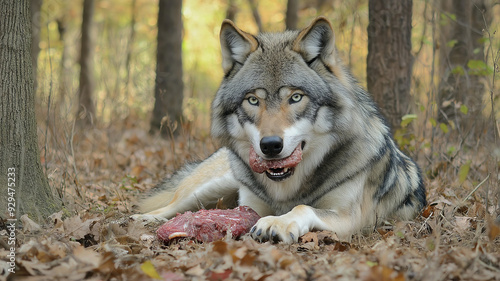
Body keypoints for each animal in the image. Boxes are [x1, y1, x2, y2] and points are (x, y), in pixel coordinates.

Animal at [135, 16, 428, 242]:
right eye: (253, 100)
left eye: (295, 97)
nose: (271, 145)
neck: (285, 188)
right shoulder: (248, 206)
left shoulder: (351, 217)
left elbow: (302, 207)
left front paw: (277, 222)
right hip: (215, 185)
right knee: (172, 205)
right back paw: (142, 218)